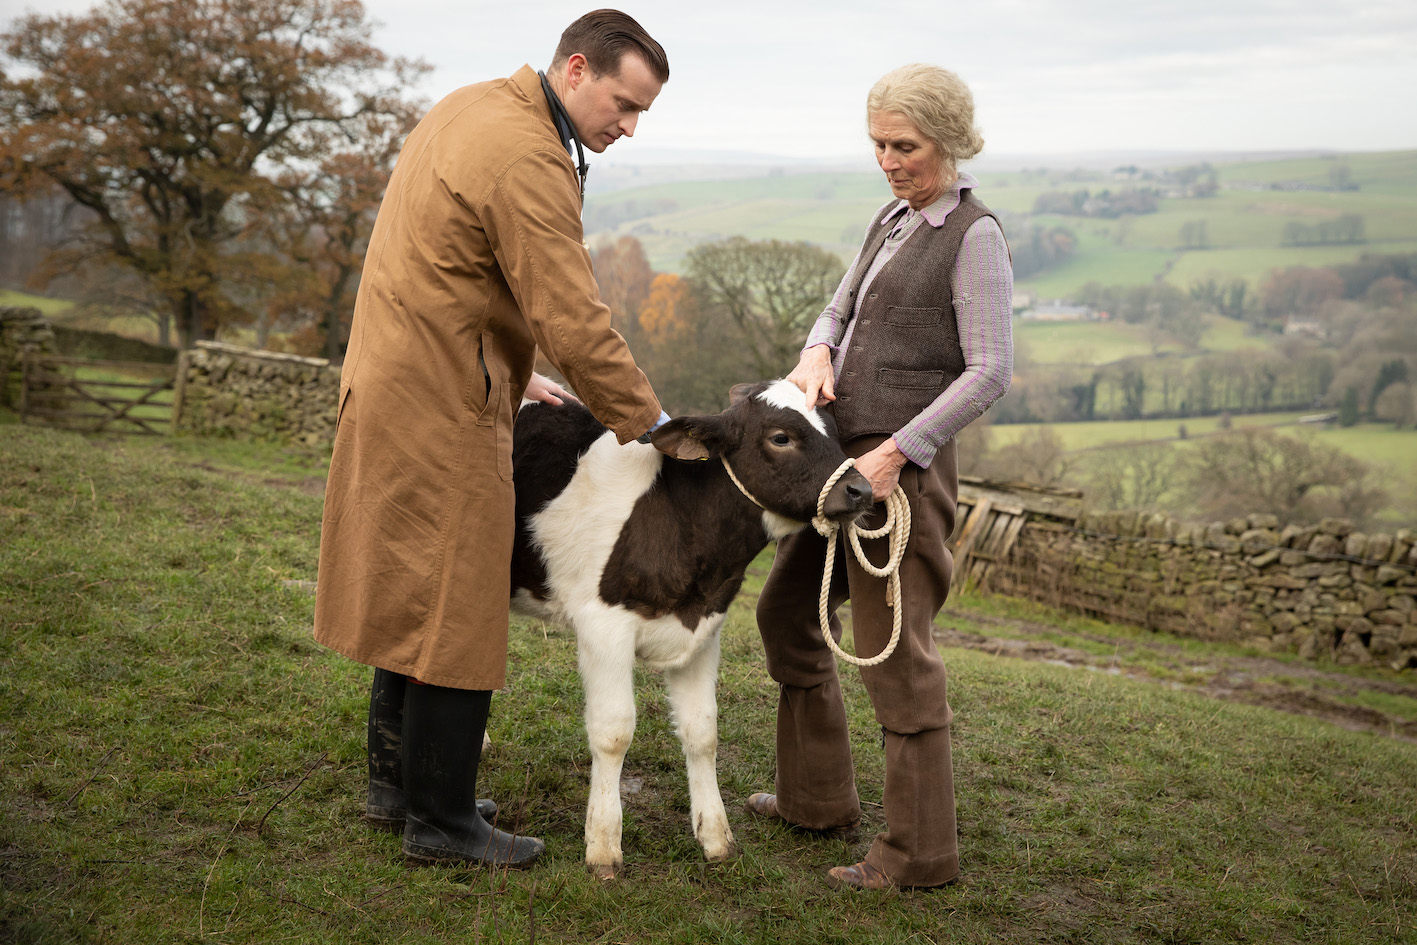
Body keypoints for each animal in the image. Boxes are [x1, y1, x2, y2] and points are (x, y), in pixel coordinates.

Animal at [504, 379, 867, 878]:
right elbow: (613, 732)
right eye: (781, 438)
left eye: (835, 431)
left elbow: (703, 732)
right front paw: (603, 847)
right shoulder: (604, 625)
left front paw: (715, 838)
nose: (862, 489)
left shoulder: (704, 631)